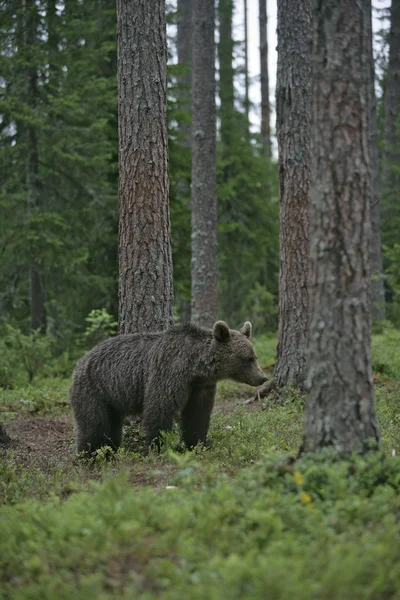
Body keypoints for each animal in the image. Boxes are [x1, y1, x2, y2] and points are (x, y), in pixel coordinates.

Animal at [70, 318, 268, 454]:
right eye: (247, 359)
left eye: (254, 356)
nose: (263, 377)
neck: (196, 368)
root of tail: (80, 362)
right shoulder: (169, 374)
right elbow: (159, 409)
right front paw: (158, 445)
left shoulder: (201, 387)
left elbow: (197, 415)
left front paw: (196, 443)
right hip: (93, 389)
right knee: (95, 425)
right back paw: (90, 454)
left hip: (112, 398)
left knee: (112, 425)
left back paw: (110, 450)